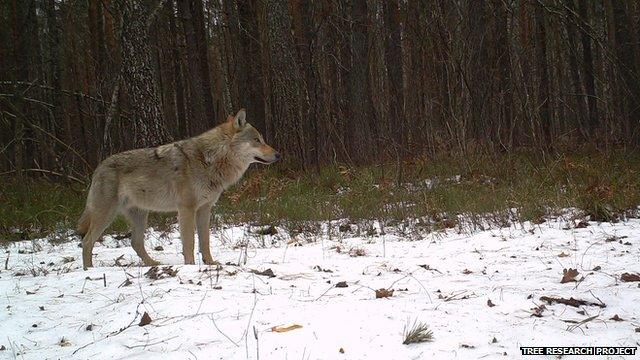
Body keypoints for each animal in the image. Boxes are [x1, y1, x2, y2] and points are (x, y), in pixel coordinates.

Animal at [75, 109, 280, 270]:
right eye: (257, 140)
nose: (278, 154)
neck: (209, 159)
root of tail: (98, 167)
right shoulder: (186, 209)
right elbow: (189, 242)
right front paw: (190, 266)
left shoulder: (205, 209)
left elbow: (205, 241)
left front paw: (211, 263)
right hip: (106, 215)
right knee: (87, 241)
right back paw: (89, 270)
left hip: (140, 216)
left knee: (135, 243)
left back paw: (154, 265)